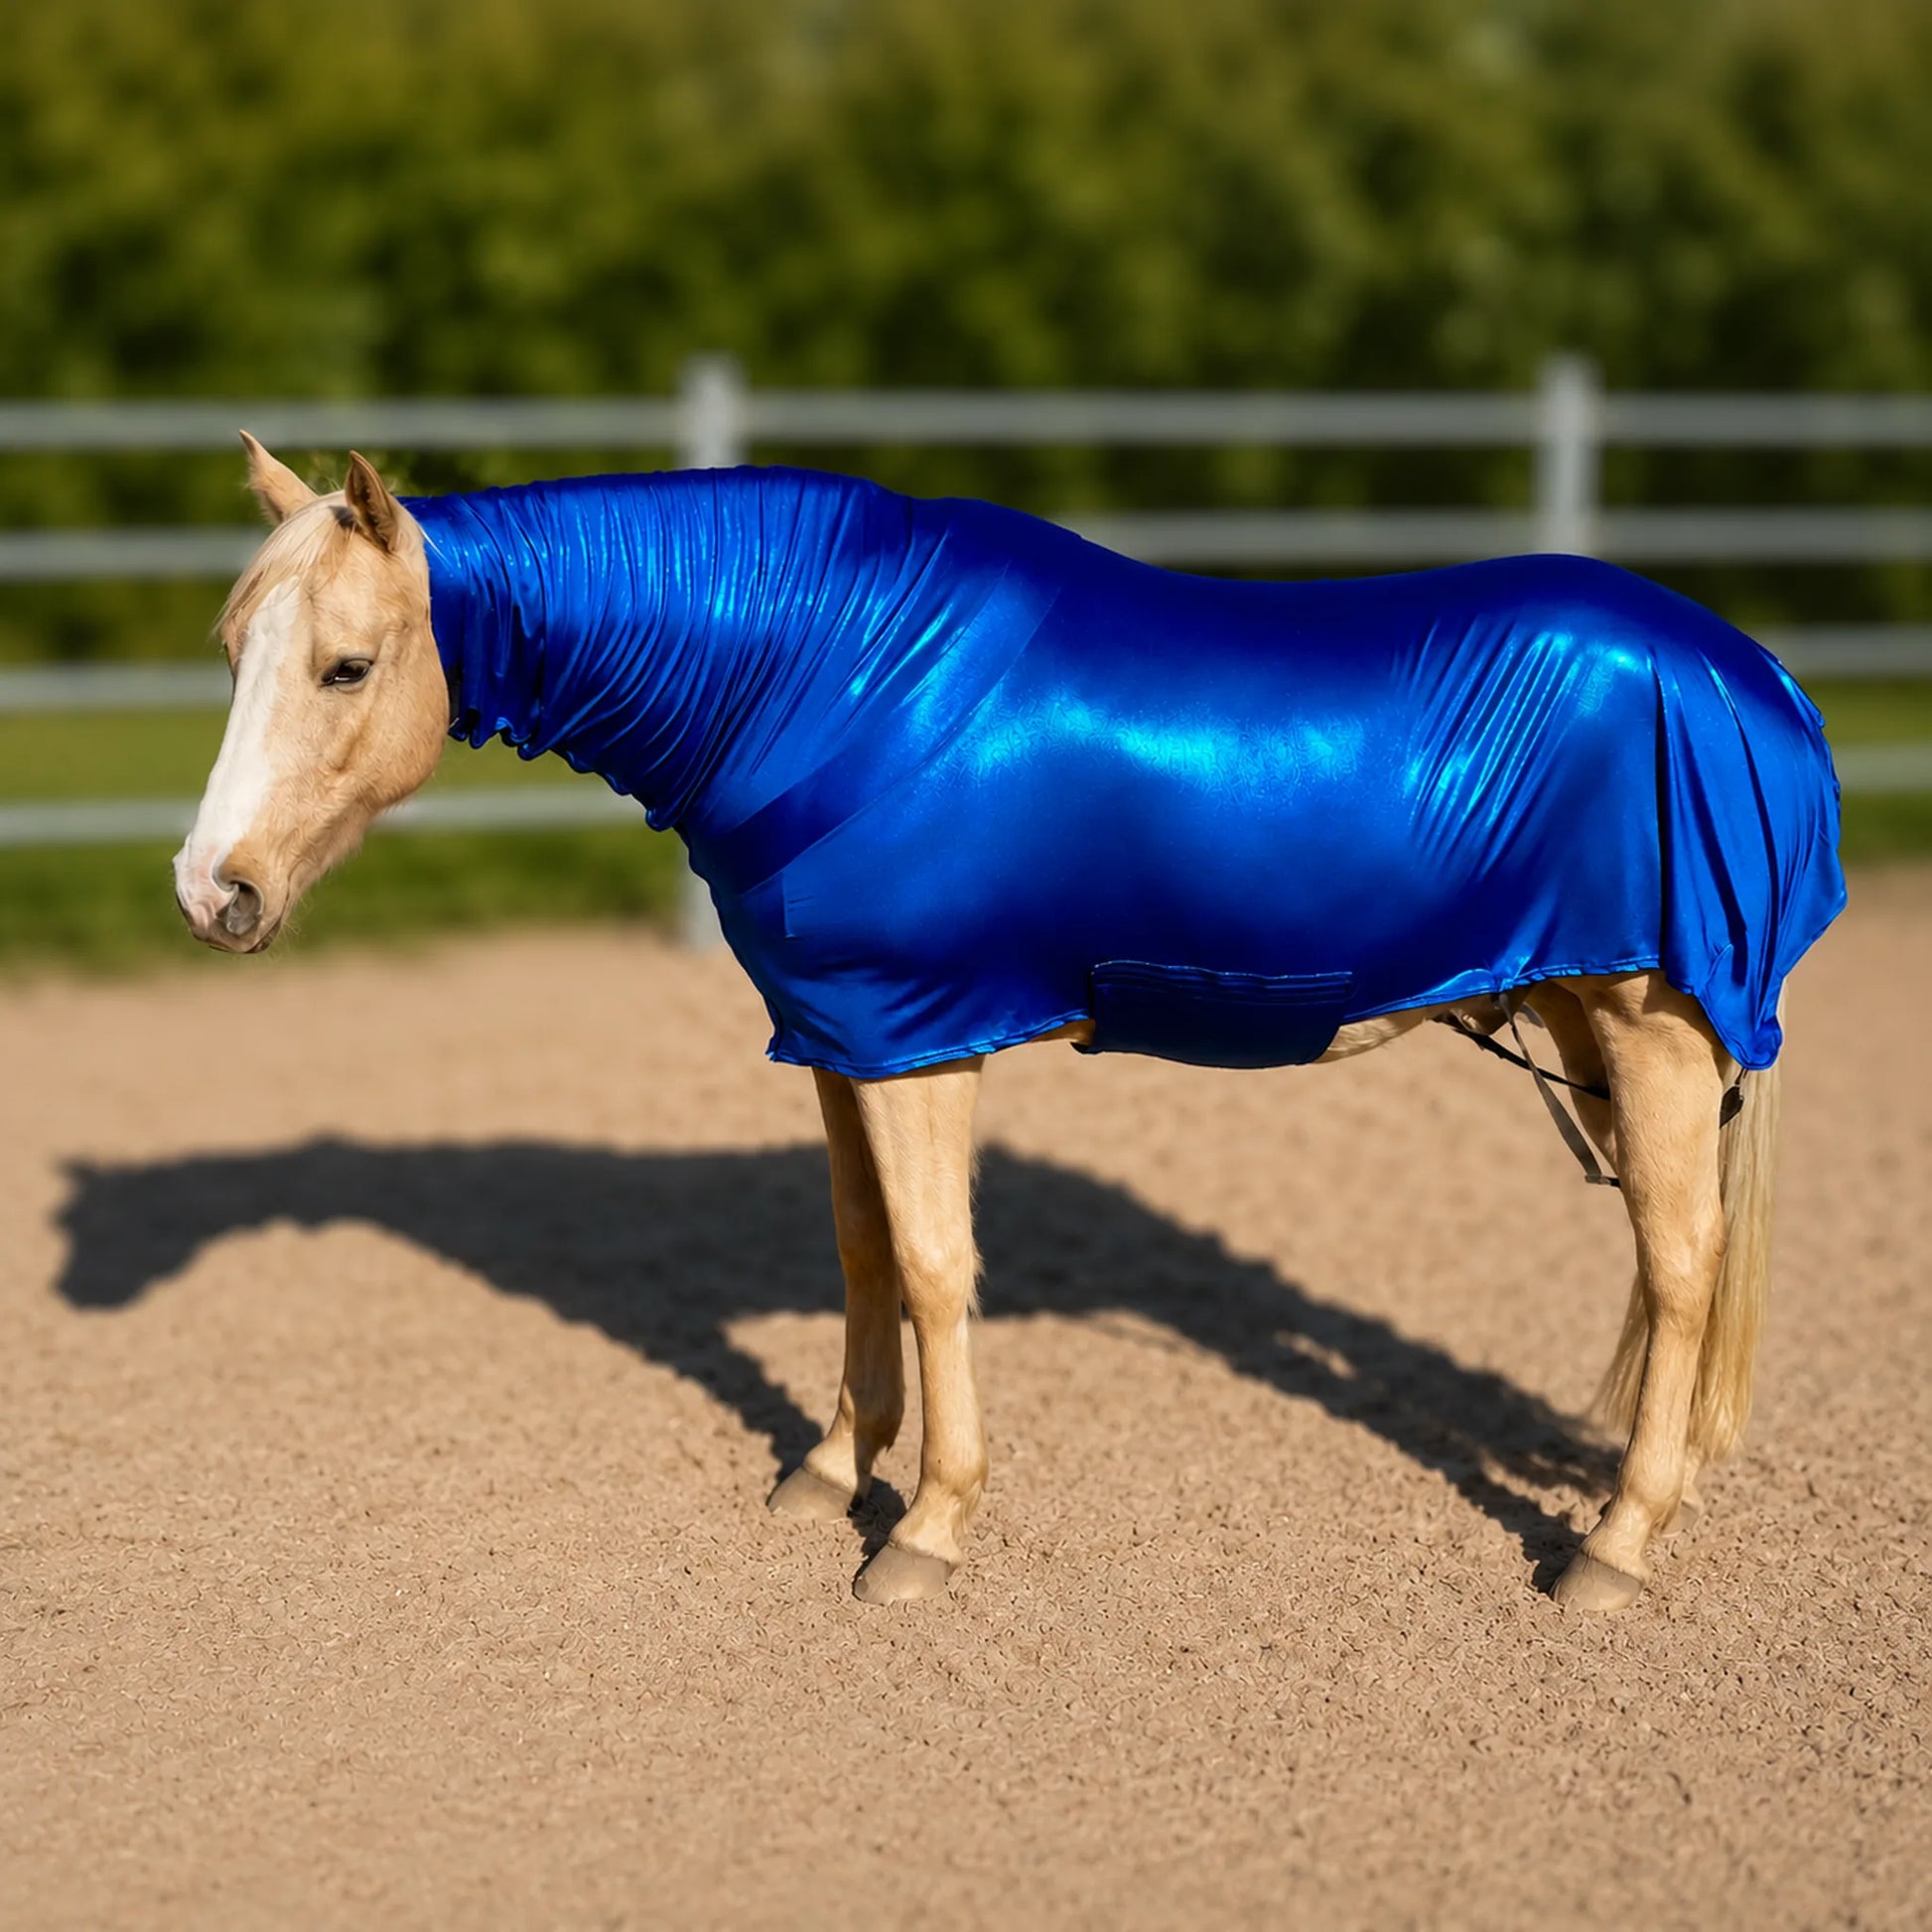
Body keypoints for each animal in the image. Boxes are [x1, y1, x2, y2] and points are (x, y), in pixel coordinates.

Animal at [174, 435, 1844, 1613]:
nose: (212, 890)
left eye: (346, 664)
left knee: (1679, 1268)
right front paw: (830, 1468)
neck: (827, 676)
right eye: (233, 652)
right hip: (1582, 1026)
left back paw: (1612, 1546)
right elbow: (860, 1249)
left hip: (1650, 1028)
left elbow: (930, 1265)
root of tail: (1756, 677)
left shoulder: (924, 1040)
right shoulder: (843, 1039)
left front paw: (924, 1528)